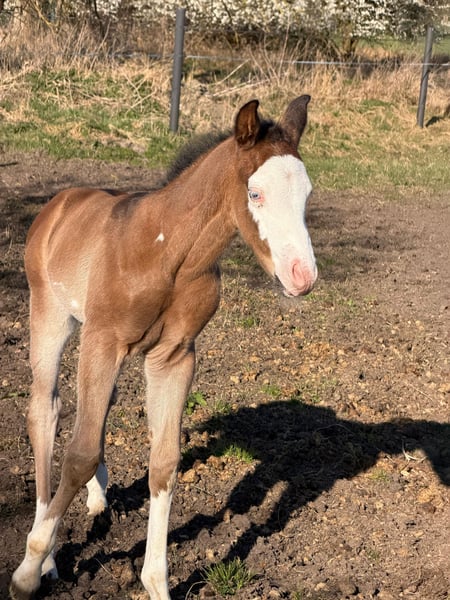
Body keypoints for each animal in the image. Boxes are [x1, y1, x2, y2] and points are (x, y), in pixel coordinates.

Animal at [10, 96, 317, 600]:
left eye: (307, 194)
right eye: (255, 194)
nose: (303, 276)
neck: (171, 253)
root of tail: (59, 204)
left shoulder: (173, 356)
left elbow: (164, 461)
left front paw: (156, 582)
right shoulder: (104, 340)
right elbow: (78, 453)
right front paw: (30, 567)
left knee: (97, 409)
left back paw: (98, 497)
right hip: (51, 318)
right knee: (45, 409)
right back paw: (48, 553)